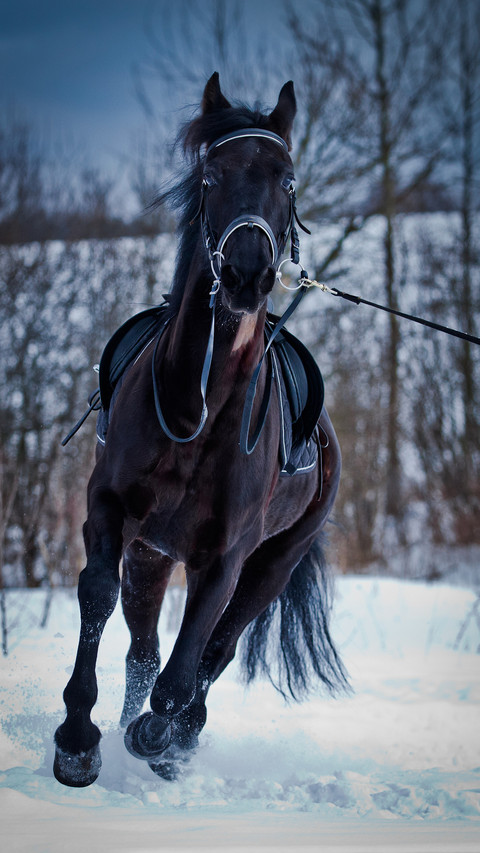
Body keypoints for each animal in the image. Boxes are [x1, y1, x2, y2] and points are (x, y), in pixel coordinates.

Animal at [53, 73, 347, 788]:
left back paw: (177, 739)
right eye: (212, 176)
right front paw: (78, 739)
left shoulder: (228, 557)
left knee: (217, 649)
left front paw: (159, 735)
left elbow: (188, 666)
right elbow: (98, 597)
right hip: (152, 554)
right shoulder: (111, 512)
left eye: (287, 180)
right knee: (143, 646)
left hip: (272, 567)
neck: (200, 409)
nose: (246, 274)